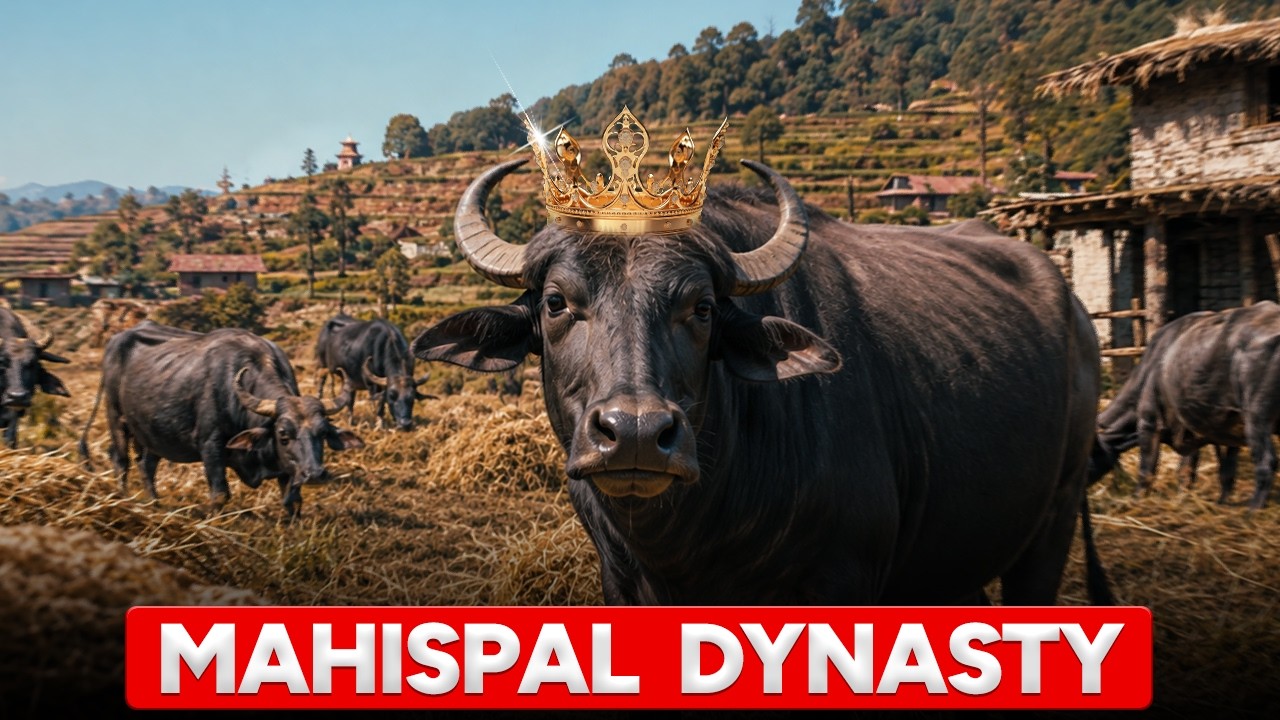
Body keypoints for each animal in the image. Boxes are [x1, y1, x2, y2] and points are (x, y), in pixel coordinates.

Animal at [79, 321, 364, 517]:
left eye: (322, 433)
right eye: (283, 434)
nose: (314, 474)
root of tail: (117, 339)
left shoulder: (288, 469)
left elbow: (292, 500)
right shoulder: (211, 447)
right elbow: (220, 495)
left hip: (153, 433)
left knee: (146, 465)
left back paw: (154, 503)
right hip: (116, 418)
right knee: (121, 460)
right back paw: (124, 499)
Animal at [412, 158, 1112, 605]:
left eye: (701, 308)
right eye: (557, 302)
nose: (635, 434)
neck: (691, 540)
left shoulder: (845, 578)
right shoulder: (621, 582)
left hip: (1053, 519)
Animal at [1091, 302, 1280, 509]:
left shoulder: (1149, 422)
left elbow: (1148, 469)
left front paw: (1137, 497)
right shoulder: (1206, 429)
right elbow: (1209, 470)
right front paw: (1210, 500)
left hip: (1257, 418)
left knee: (1266, 462)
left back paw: (1252, 510)